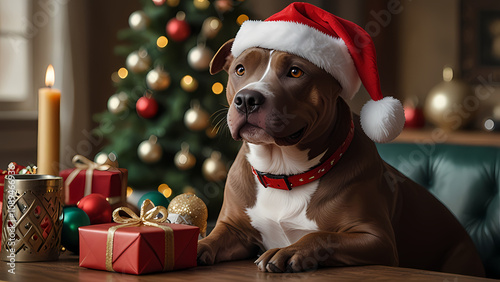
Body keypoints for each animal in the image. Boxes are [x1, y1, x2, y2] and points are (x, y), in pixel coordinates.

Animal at [197, 2, 486, 276]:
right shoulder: (233, 229)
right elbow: (212, 239)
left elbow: (322, 236)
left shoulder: (375, 238)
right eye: (240, 69)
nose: (247, 99)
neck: (284, 172)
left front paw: (289, 251)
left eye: (295, 72)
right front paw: (197, 246)